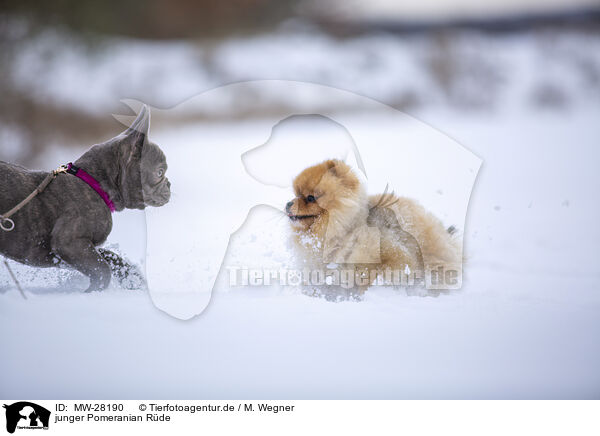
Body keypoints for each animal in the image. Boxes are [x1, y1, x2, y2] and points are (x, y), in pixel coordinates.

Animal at [284, 158, 460, 294]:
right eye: (296, 194)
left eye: (310, 198)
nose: (288, 203)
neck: (344, 232)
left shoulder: (397, 256)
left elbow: (374, 277)